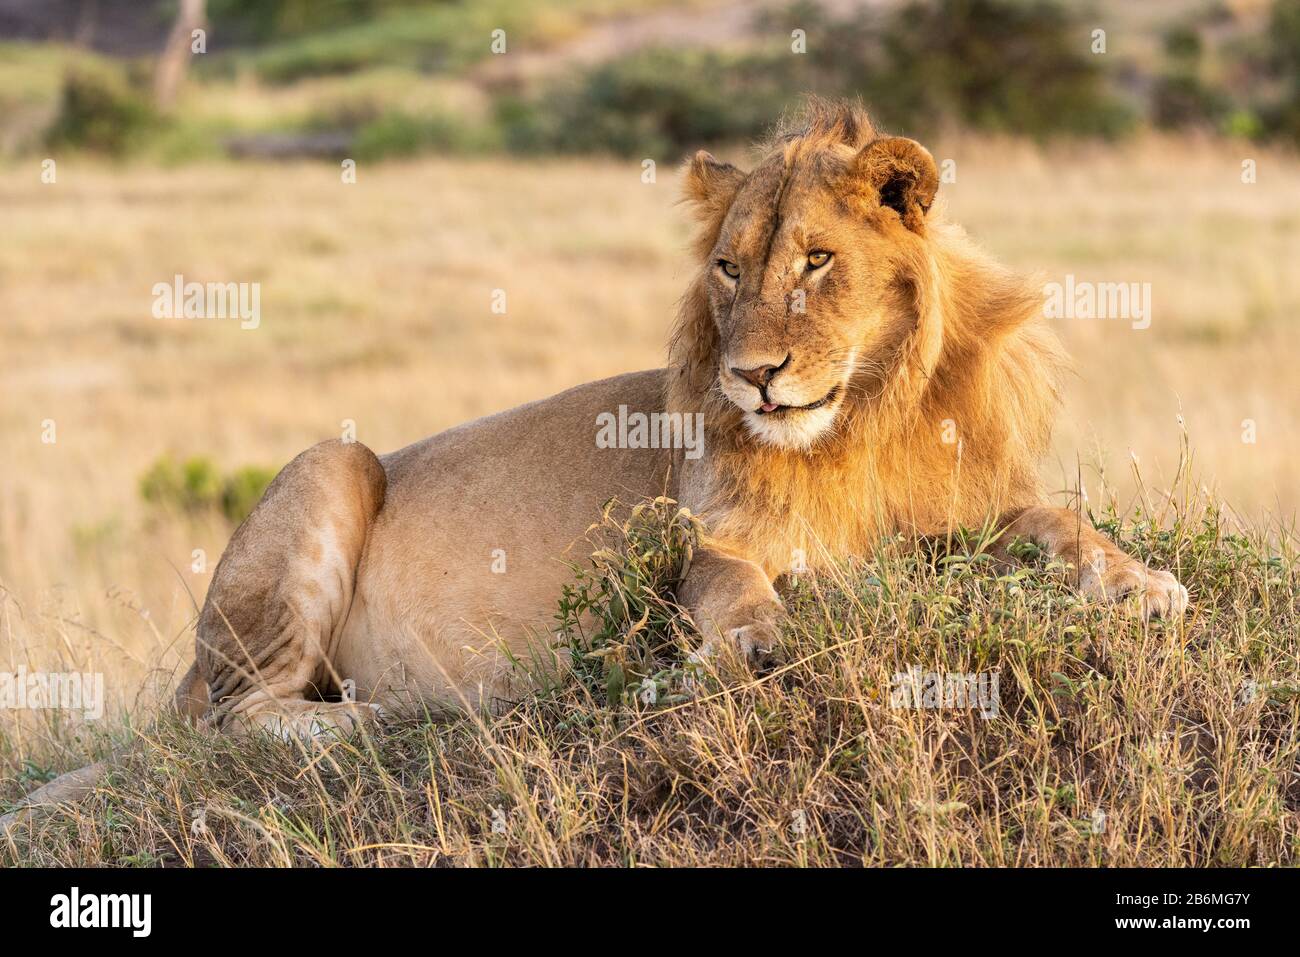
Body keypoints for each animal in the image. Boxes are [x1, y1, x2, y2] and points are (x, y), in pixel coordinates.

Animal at [2, 100, 1187, 834]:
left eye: (816, 261)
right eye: (727, 268)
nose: (754, 377)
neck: (866, 418)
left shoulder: (984, 505)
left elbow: (1063, 528)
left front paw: (1144, 586)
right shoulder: (708, 540)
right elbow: (734, 590)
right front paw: (758, 642)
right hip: (331, 464)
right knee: (231, 724)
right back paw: (405, 716)